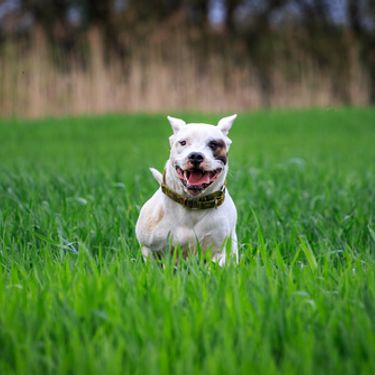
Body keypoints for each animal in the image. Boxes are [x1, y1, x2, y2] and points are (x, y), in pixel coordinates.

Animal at [137, 116, 239, 266]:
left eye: (213, 144)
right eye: (183, 142)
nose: (196, 156)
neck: (192, 203)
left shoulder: (218, 253)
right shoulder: (148, 249)